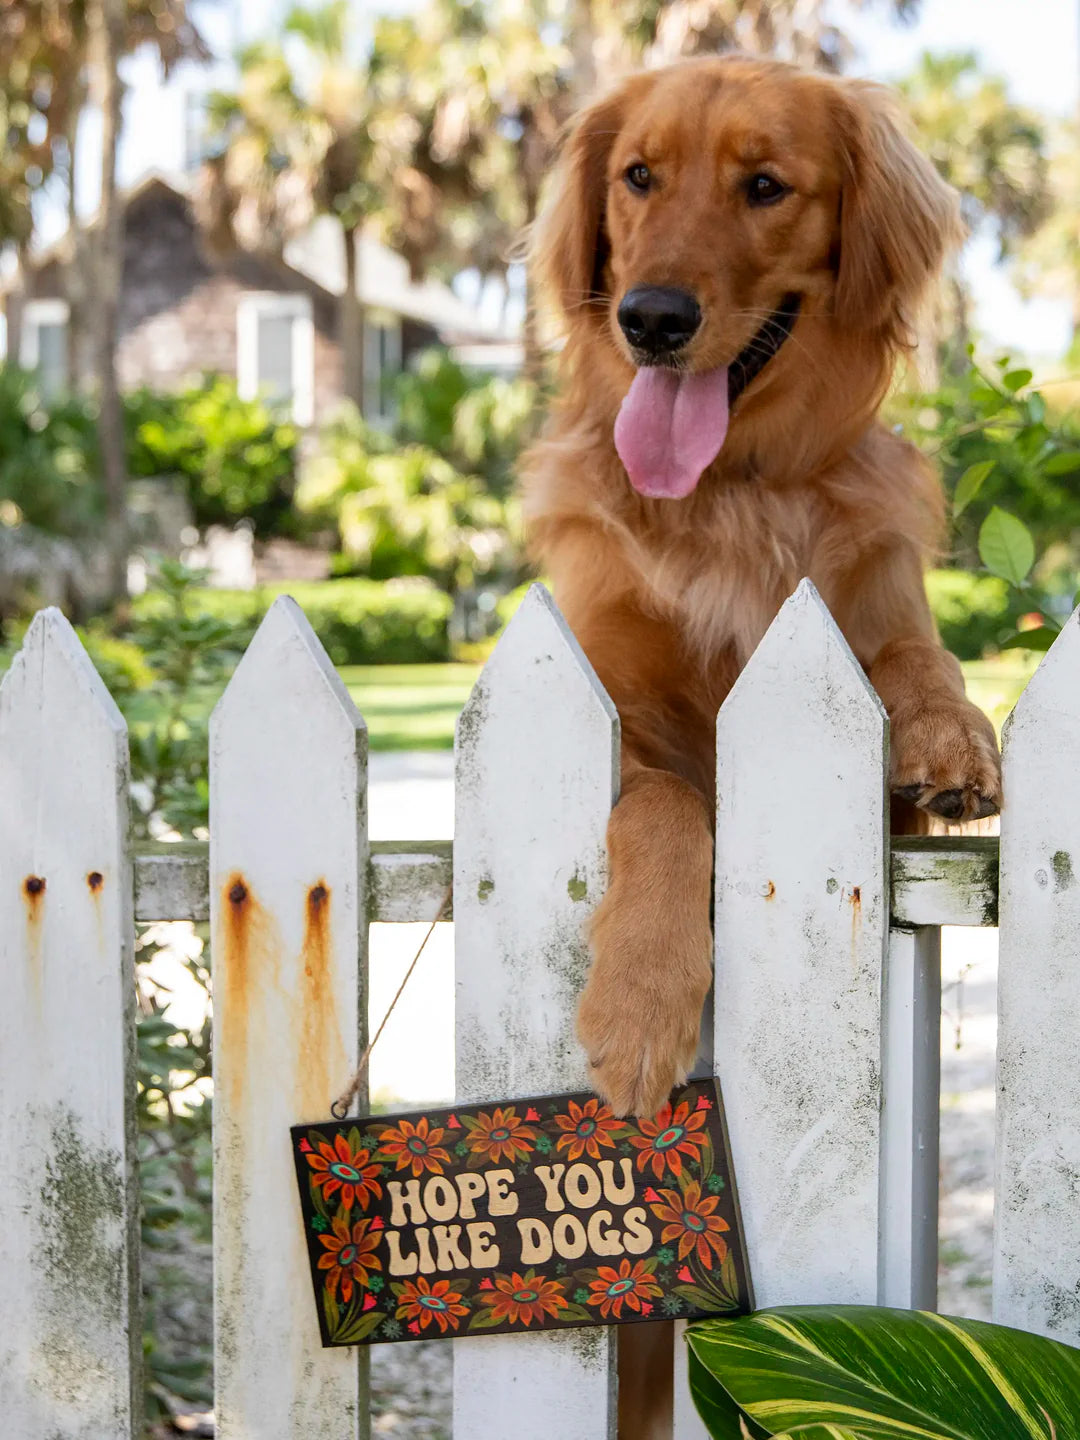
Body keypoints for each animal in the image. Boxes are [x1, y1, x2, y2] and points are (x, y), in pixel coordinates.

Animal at [524, 56, 1008, 1128]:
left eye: (765, 186)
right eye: (638, 176)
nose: (652, 318)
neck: (730, 493)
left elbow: (921, 653)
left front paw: (950, 734)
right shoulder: (612, 710)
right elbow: (668, 803)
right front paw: (640, 1003)